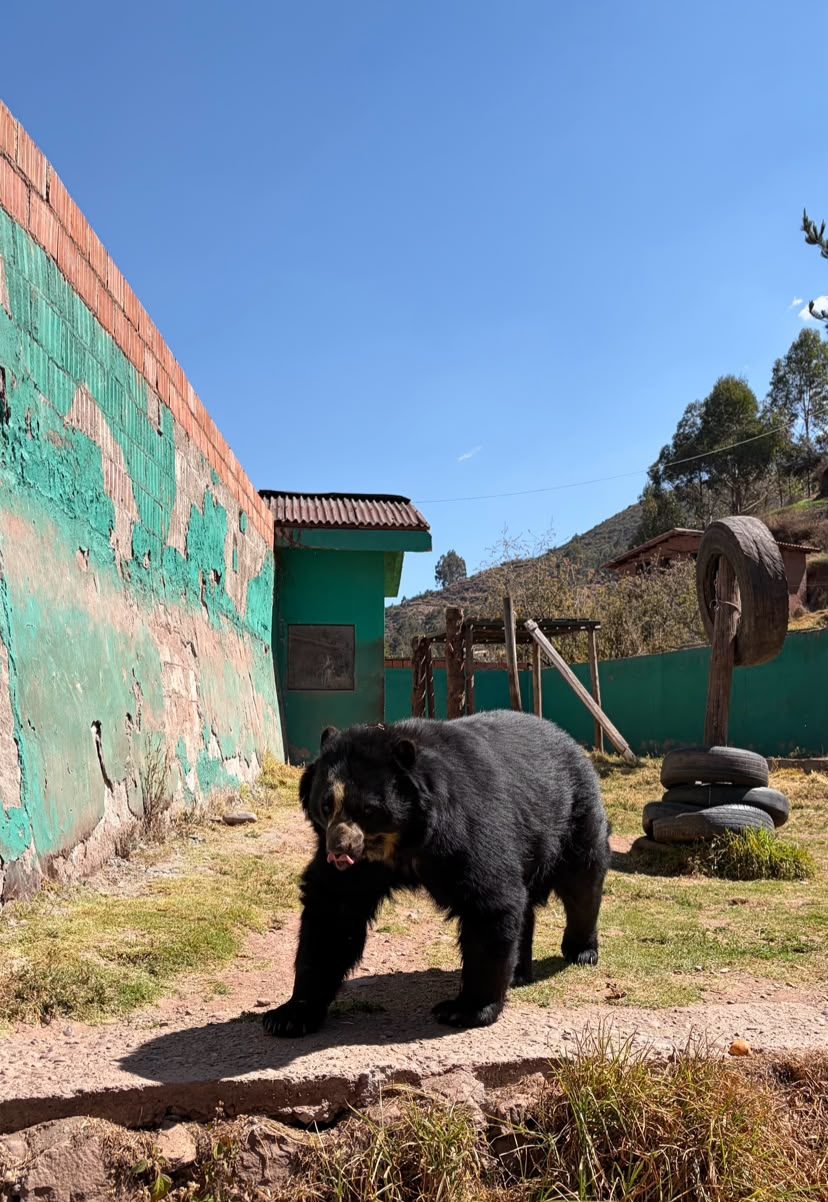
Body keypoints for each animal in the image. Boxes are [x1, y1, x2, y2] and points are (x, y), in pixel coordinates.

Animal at [263, 709, 611, 1037]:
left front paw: (464, 1010)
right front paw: (287, 1017)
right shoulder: (359, 869)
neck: (401, 842)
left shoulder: (466, 827)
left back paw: (581, 952)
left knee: (582, 884)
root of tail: (569, 741)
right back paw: (519, 973)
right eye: (325, 805)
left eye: (368, 810)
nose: (339, 849)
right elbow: (331, 915)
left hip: (574, 816)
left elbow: (489, 900)